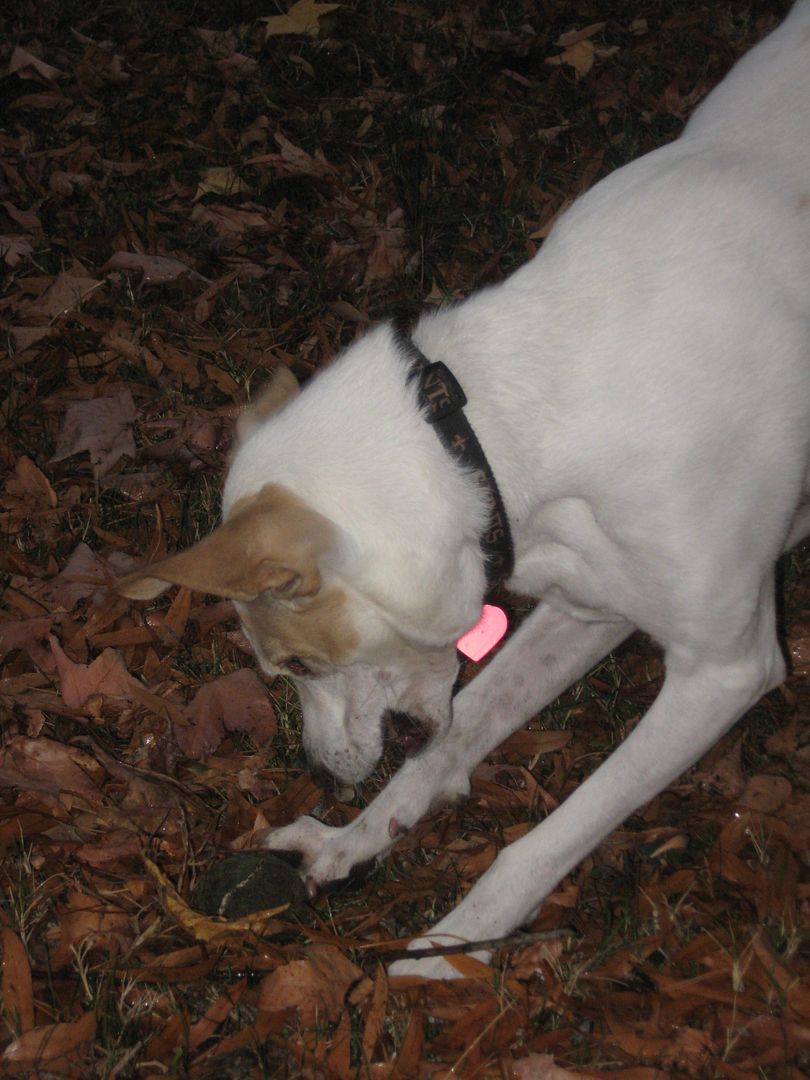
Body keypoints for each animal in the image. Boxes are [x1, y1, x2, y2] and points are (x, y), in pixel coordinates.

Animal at [120, 2, 810, 980]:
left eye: (295, 668)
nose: (319, 769)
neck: (506, 422)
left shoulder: (726, 669)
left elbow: (545, 840)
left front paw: (456, 947)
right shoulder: (587, 606)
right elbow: (450, 742)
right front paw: (352, 842)